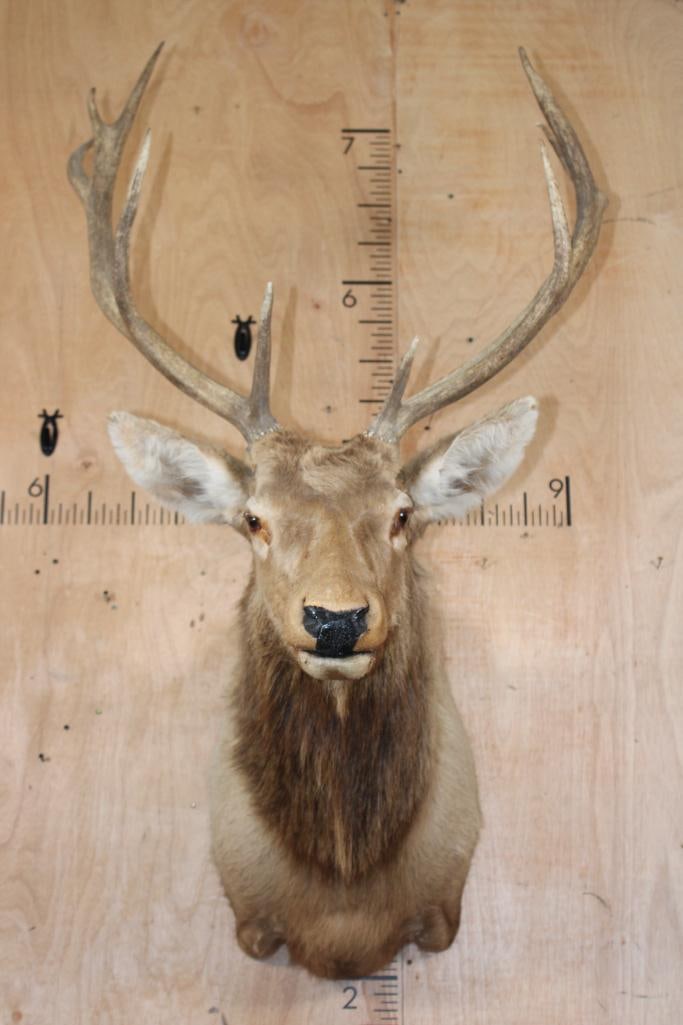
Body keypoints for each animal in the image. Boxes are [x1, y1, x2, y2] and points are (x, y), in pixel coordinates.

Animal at [67, 45, 605, 980]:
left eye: (402, 514)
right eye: (252, 519)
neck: (347, 891)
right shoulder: (249, 915)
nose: (334, 618)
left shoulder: (442, 906)